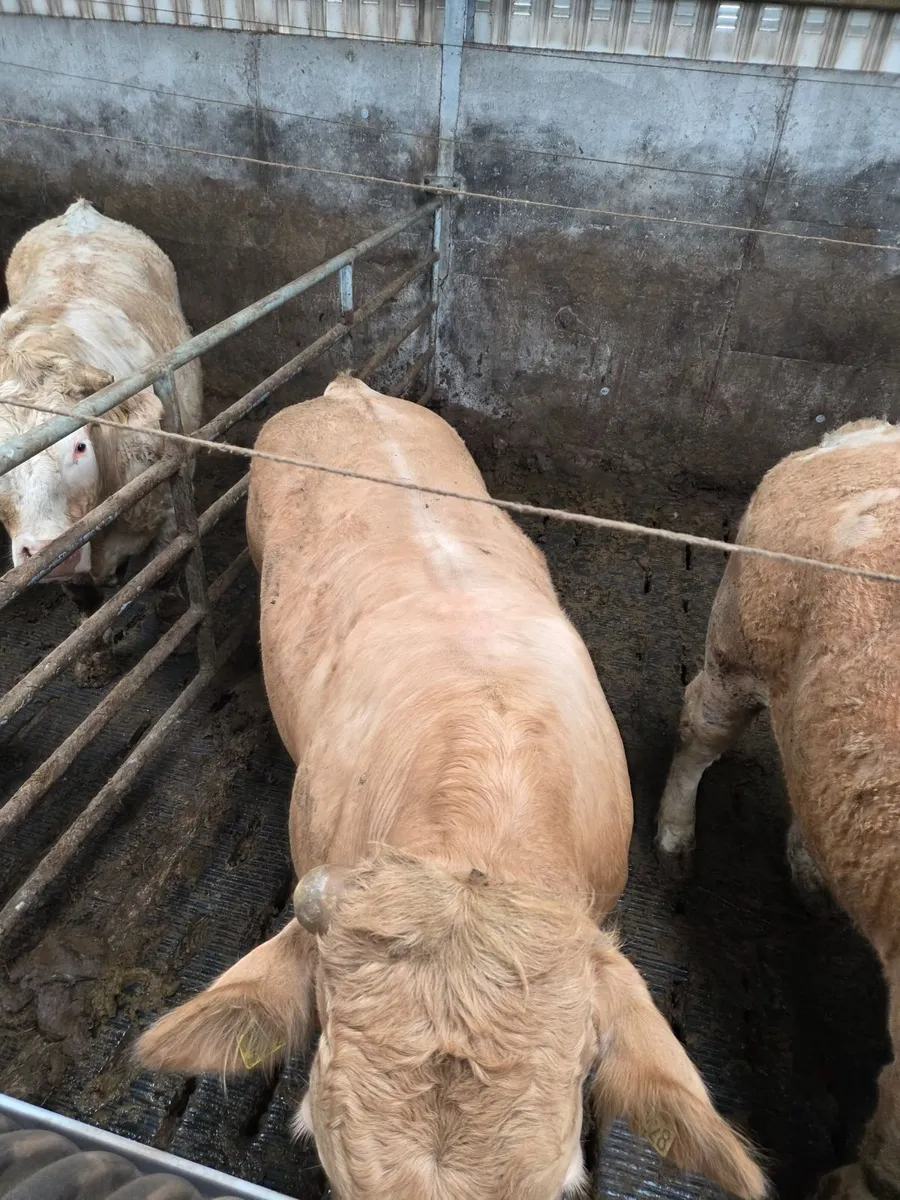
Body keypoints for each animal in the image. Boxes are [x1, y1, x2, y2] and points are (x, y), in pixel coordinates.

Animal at [0, 199, 202, 635]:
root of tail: (81, 211)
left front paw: (170, 612)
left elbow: (164, 571)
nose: (43, 548)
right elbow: (88, 604)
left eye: (79, 446)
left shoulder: (170, 506)